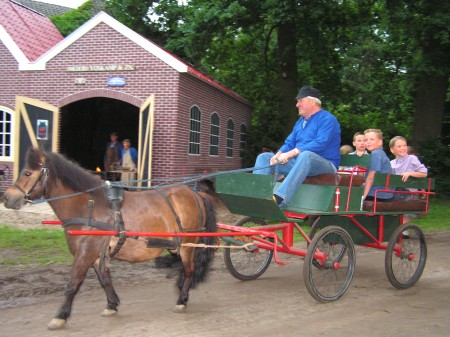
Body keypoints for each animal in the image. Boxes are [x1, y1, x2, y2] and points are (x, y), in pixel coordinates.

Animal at [1, 147, 216, 328]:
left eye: (28, 173)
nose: (7, 198)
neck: (89, 206)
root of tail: (195, 194)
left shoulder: (85, 253)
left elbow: (72, 284)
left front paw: (60, 316)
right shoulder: (96, 255)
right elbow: (104, 280)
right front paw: (112, 305)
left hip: (188, 245)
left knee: (189, 271)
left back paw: (181, 300)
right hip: (177, 245)